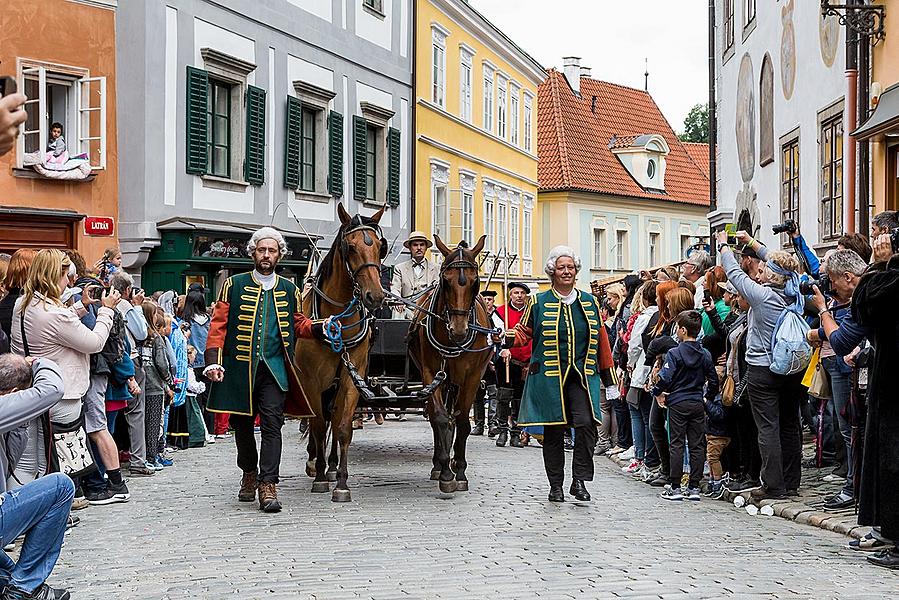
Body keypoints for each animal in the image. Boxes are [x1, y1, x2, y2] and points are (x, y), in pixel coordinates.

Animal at [298, 202, 386, 502]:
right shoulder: (310, 381)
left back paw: (333, 464)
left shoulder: (351, 377)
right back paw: (316, 462)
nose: (375, 296)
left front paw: (342, 483)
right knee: (318, 421)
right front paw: (320, 476)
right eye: (350, 247)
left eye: (379, 247)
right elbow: (316, 423)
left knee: (333, 419)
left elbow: (343, 425)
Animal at [410, 234, 492, 492]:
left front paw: (460, 470)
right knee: (442, 418)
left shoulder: (473, 377)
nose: (459, 330)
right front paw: (445, 471)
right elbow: (439, 418)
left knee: (454, 417)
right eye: (445, 282)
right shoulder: (430, 373)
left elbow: (463, 422)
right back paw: (440, 464)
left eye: (476, 282)